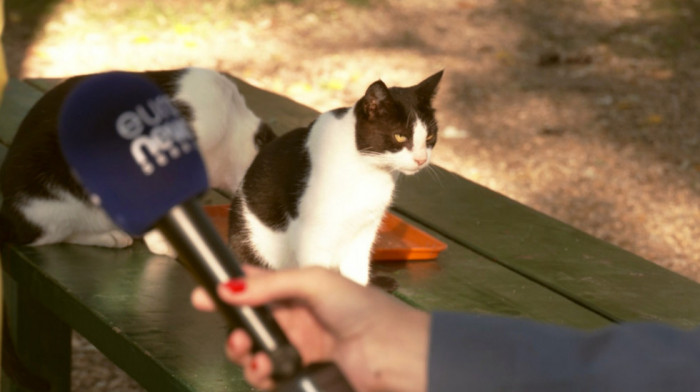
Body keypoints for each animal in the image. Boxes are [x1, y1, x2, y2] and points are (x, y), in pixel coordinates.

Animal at [230, 70, 442, 284]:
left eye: (430, 137)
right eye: (400, 136)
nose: (421, 159)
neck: (367, 171)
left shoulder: (365, 230)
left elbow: (357, 274)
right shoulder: (313, 236)